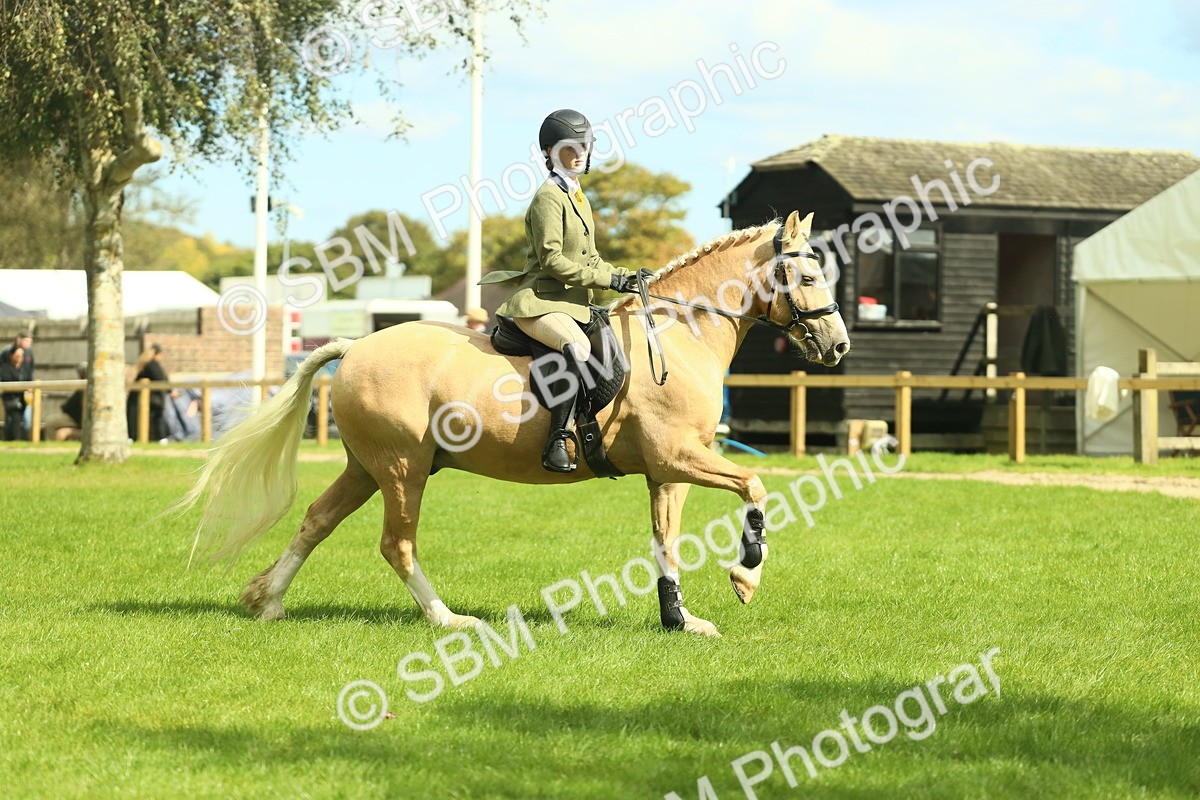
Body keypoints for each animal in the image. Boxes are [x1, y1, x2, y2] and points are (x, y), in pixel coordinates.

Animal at [179, 211, 851, 637]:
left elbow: (666, 541)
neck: (680, 332)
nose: (838, 346)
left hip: (368, 467)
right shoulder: (679, 457)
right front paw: (745, 575)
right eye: (807, 276)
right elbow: (755, 487)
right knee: (396, 544)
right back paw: (447, 619)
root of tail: (355, 347)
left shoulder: (667, 470)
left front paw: (680, 621)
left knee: (318, 520)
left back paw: (267, 601)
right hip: (402, 470)